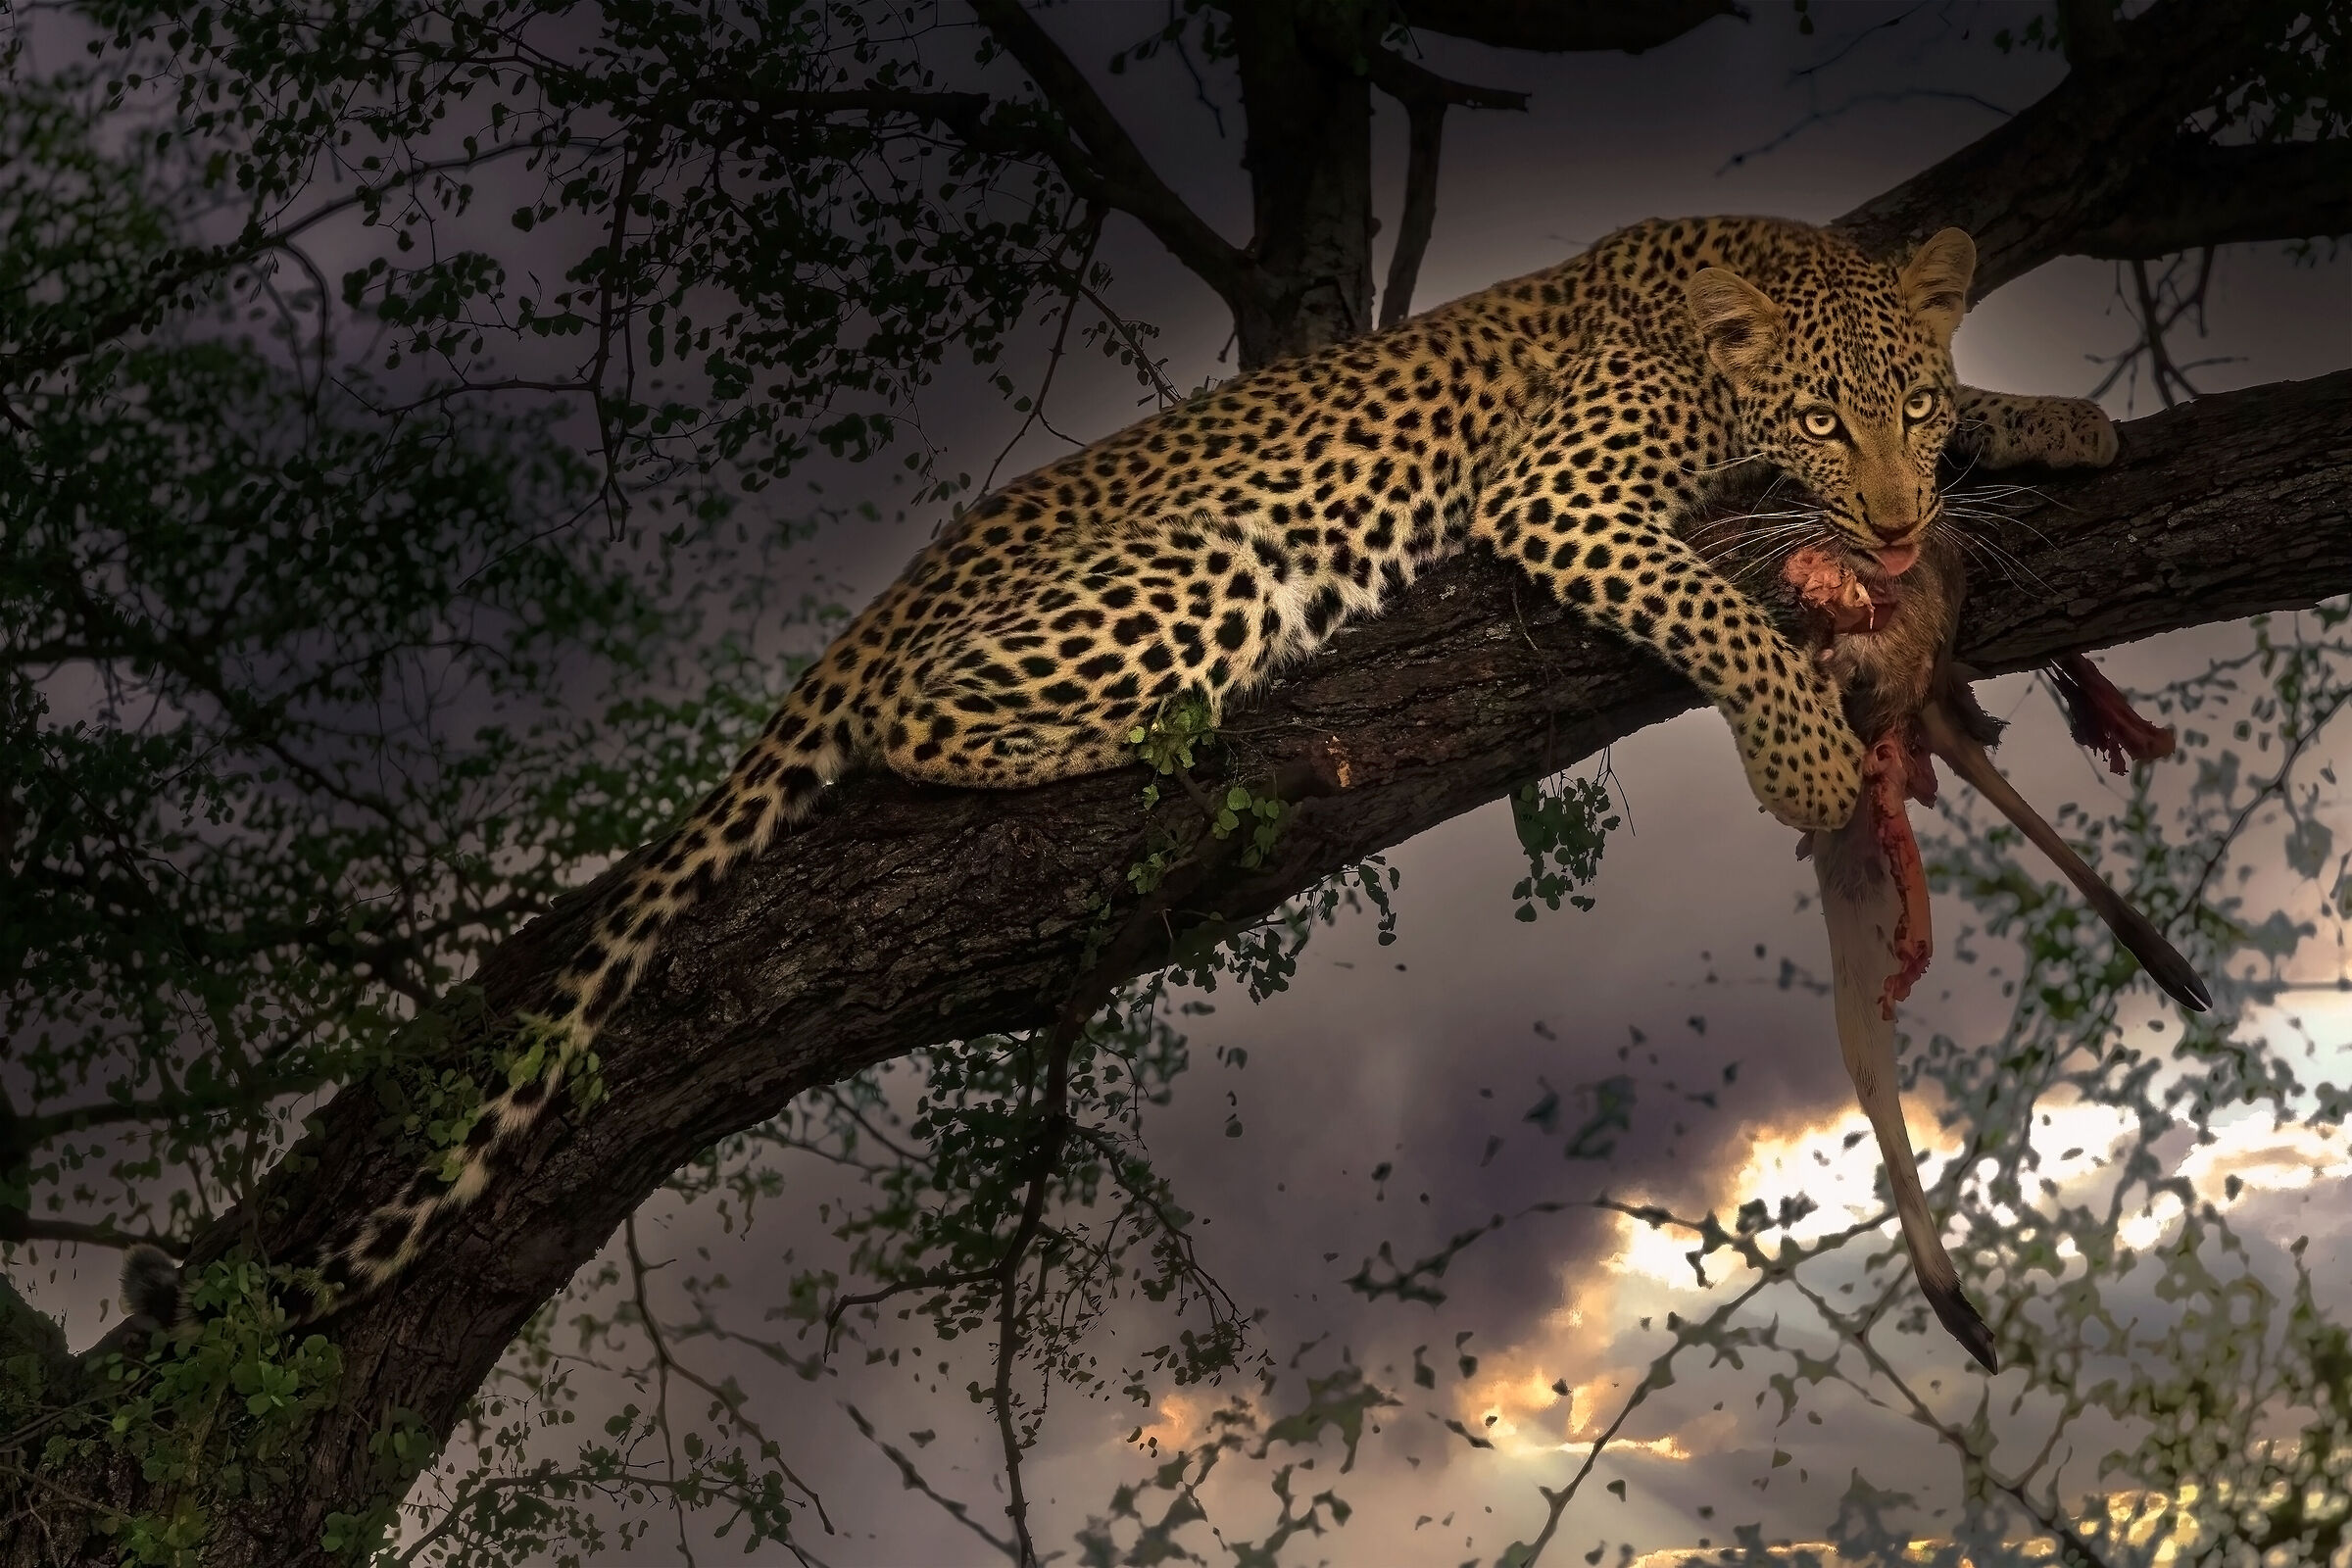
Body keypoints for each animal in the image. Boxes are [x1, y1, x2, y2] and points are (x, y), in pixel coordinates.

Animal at [134, 215, 2124, 1323]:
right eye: (1822, 422)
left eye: (1904, 409)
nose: (1895, 523)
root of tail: (896, 584)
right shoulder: (1555, 489)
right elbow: (1704, 593)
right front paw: (1796, 742)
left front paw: (2059, 417)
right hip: (1211, 566)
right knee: (921, 720)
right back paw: (1160, 730)